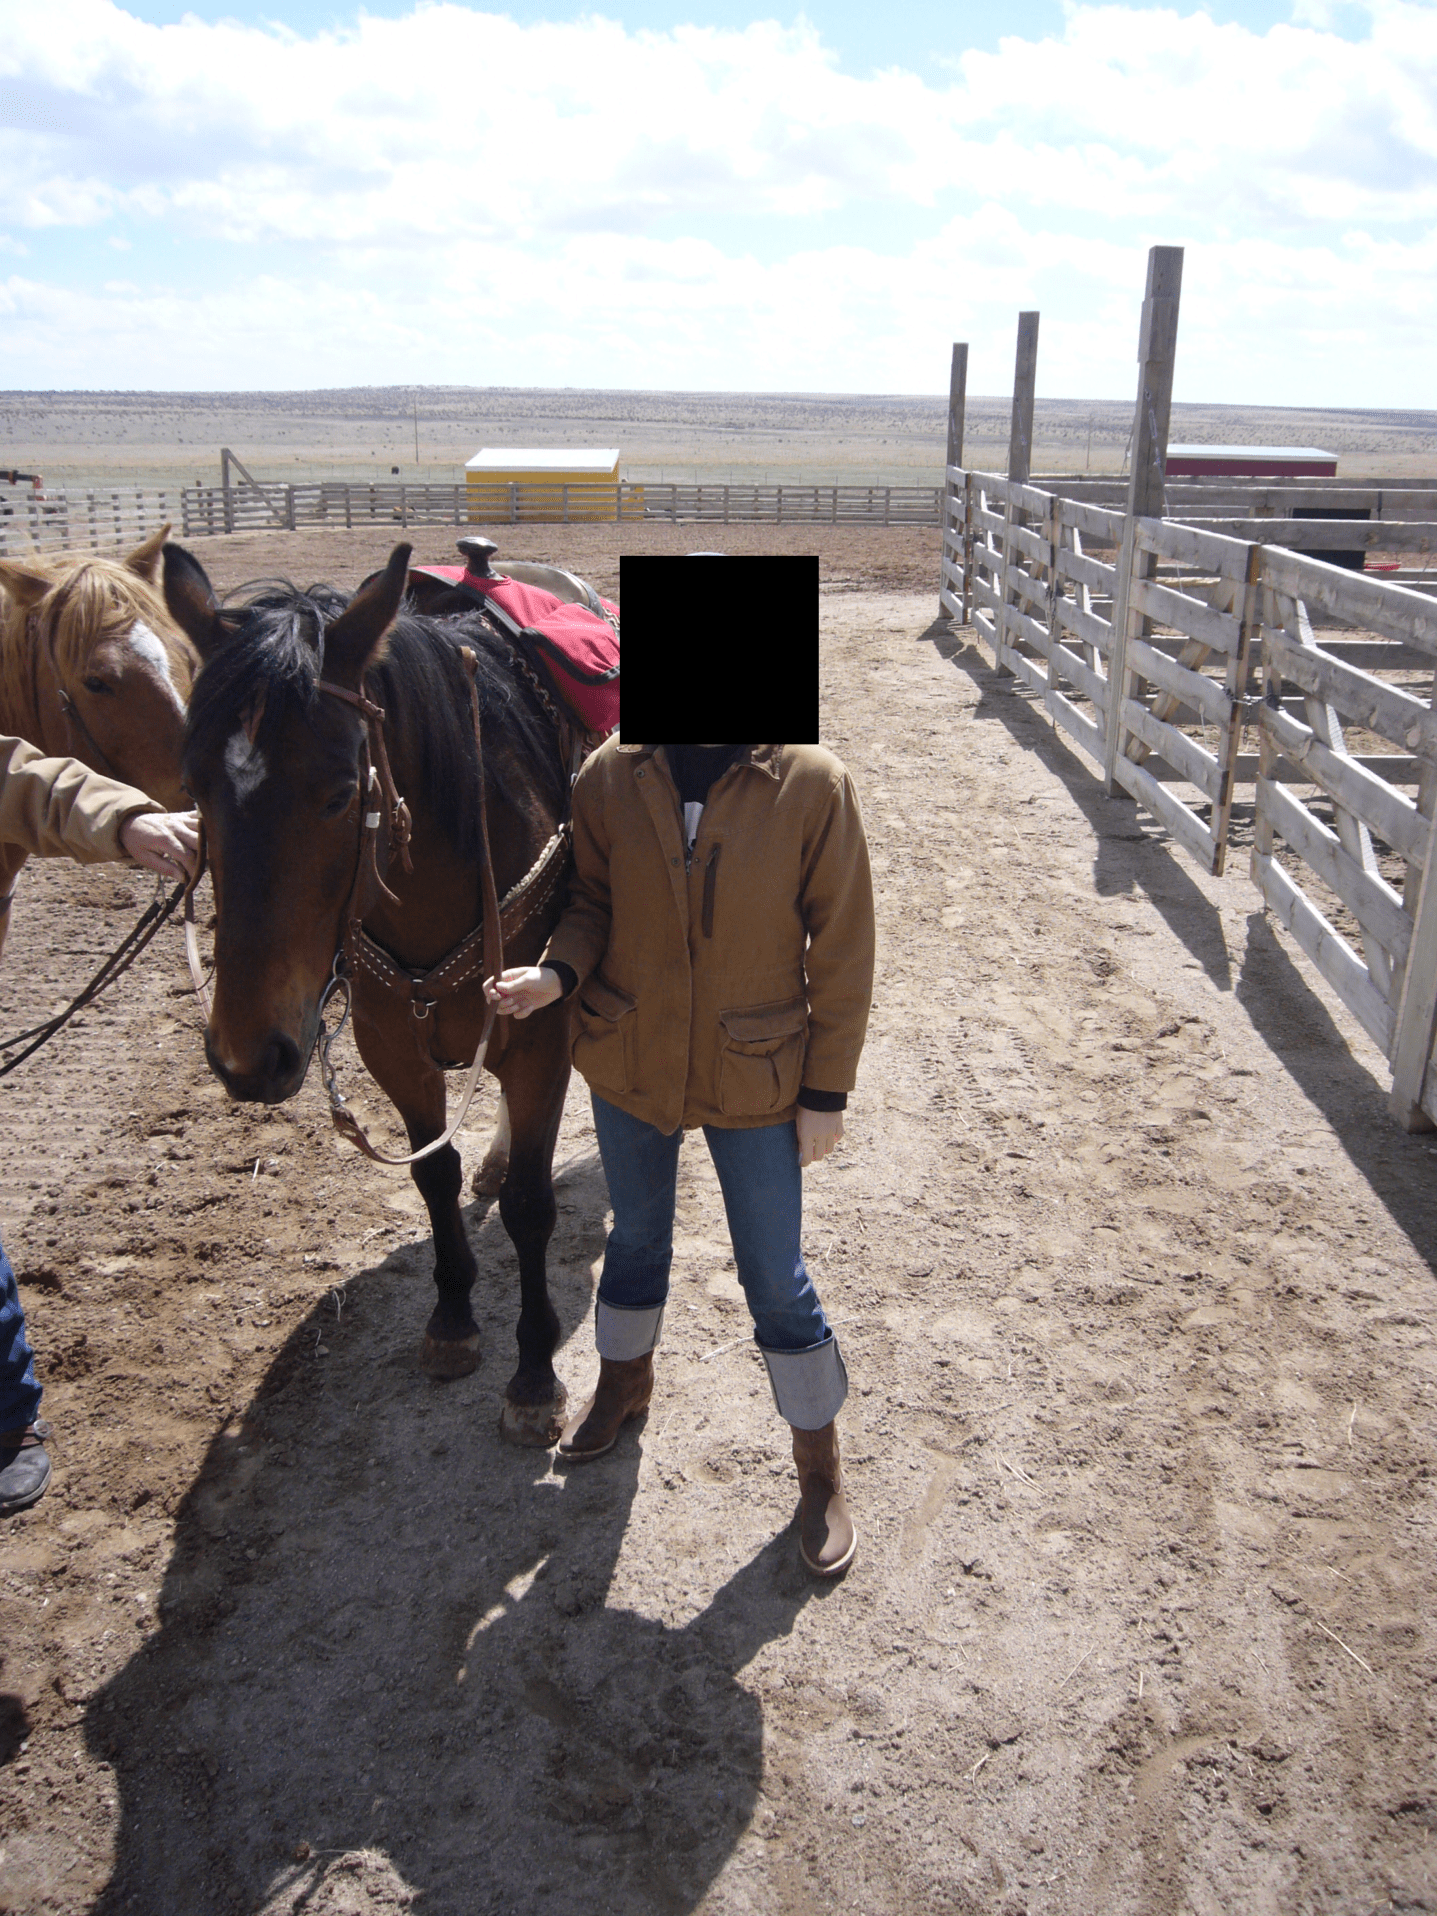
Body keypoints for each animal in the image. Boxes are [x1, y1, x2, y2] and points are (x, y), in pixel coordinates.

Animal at [162, 539, 577, 1445]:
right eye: (194, 786)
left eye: (340, 793)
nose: (249, 1057)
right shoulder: (392, 1045)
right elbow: (434, 1176)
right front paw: (452, 1322)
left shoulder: (539, 1039)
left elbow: (532, 1206)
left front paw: (534, 1374)